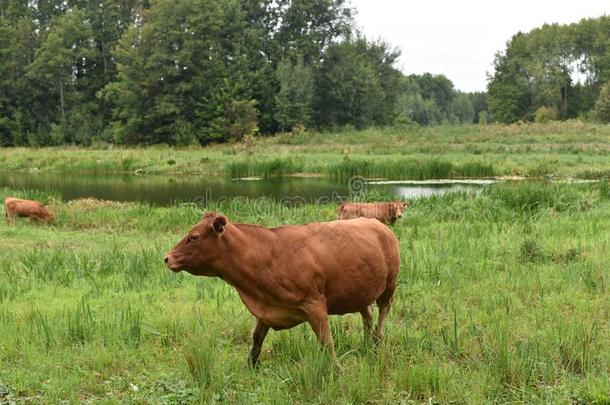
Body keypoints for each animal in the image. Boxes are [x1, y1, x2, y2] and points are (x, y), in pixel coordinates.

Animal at [163, 211, 400, 366]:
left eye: (194, 236)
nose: (167, 258)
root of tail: (379, 224)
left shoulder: (315, 305)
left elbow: (326, 342)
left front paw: (337, 371)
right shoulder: (266, 309)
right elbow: (256, 340)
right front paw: (250, 367)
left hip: (389, 285)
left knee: (382, 311)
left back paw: (377, 341)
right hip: (359, 291)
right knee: (367, 314)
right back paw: (367, 343)